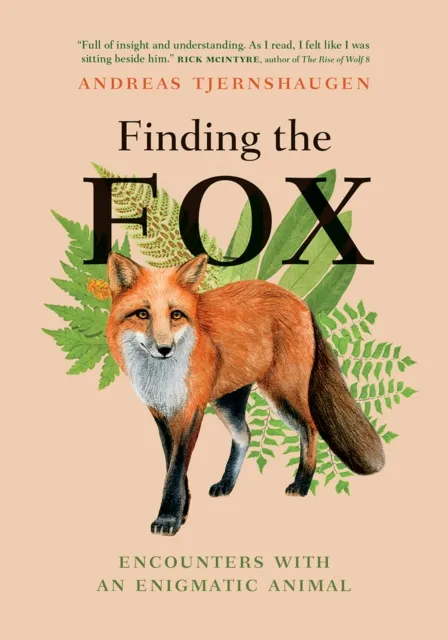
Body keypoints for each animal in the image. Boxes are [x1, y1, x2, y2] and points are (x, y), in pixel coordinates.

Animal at [106, 252, 385, 536]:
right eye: (142, 314)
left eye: (176, 315)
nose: (164, 349)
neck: (161, 375)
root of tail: (301, 303)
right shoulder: (163, 414)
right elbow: (174, 467)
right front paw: (181, 514)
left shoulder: (192, 409)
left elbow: (175, 469)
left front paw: (169, 518)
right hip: (226, 401)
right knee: (245, 435)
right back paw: (227, 483)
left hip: (283, 394)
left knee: (310, 428)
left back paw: (302, 484)